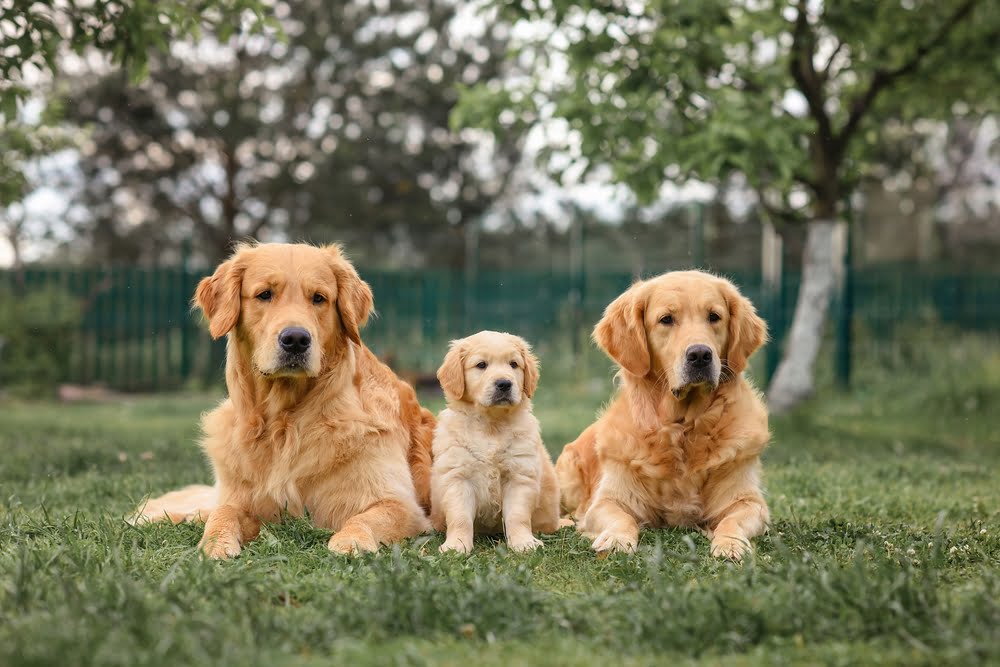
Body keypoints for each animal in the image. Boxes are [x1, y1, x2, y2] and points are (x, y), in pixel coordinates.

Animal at [129, 244, 434, 560]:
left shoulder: (401, 506)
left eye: (319, 298)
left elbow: (363, 518)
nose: (296, 339)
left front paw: (351, 541)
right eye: (265, 294)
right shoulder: (244, 500)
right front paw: (214, 544)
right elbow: (223, 513)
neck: (284, 422)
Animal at [430, 332, 564, 556]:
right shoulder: (458, 476)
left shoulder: (519, 474)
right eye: (481, 365)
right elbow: (460, 517)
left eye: (514, 364)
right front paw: (456, 545)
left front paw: (523, 542)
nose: (504, 384)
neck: (491, 425)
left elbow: (517, 516)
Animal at [556, 272, 764, 560]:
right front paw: (617, 539)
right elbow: (622, 518)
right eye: (666, 319)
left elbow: (733, 519)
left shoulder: (748, 500)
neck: (682, 428)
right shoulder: (608, 500)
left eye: (714, 316)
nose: (700, 354)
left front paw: (730, 543)